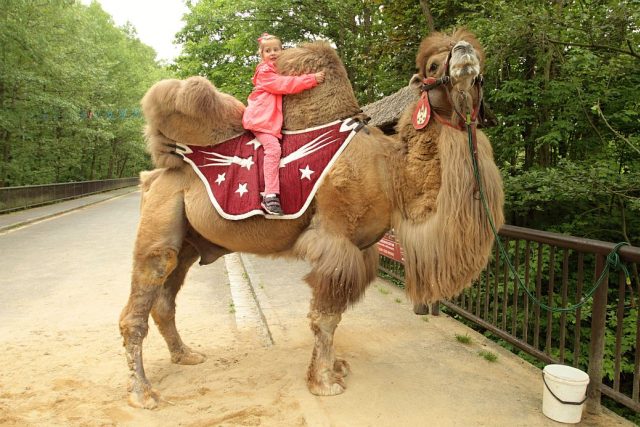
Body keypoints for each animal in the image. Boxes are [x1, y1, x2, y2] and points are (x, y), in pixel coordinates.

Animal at [117, 28, 502, 410]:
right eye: (434, 65)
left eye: (478, 63)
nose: (465, 53)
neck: (391, 171)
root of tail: (153, 177)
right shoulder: (336, 242)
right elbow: (325, 319)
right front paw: (324, 382)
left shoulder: (360, 250)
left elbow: (335, 316)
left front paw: (336, 368)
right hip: (160, 226)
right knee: (137, 306)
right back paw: (143, 393)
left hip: (188, 243)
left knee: (165, 302)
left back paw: (185, 355)